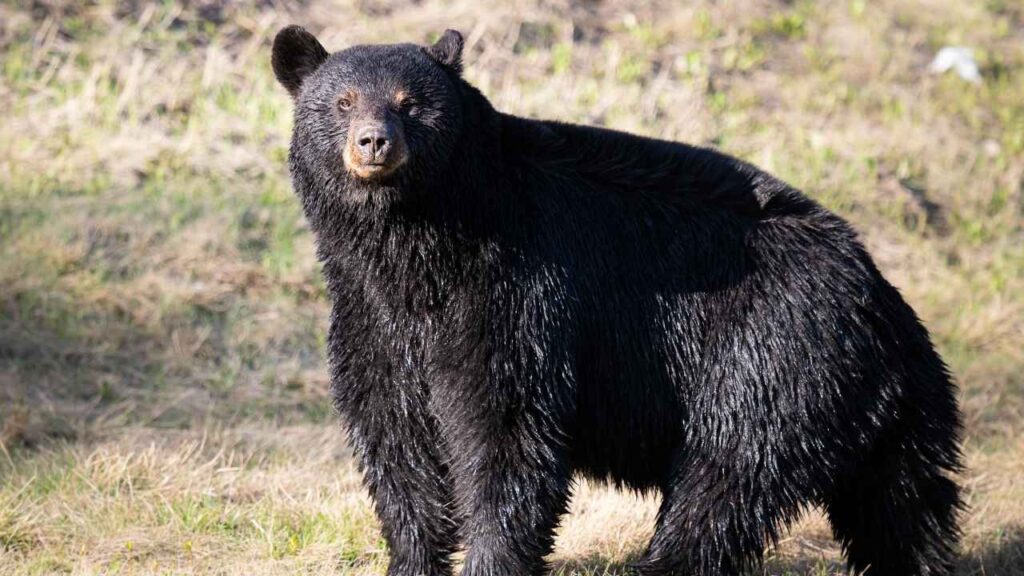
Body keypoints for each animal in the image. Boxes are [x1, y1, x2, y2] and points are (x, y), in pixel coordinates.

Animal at [272, 26, 963, 576]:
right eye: (341, 102)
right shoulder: (372, 317)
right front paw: (411, 559)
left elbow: (507, 428)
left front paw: (492, 559)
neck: (417, 252)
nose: (373, 143)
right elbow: (396, 441)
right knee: (905, 508)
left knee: (724, 484)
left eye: (411, 104)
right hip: (893, 416)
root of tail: (881, 299)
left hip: (768, 360)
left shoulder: (518, 290)